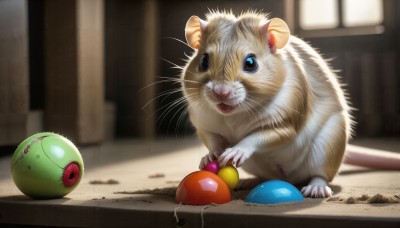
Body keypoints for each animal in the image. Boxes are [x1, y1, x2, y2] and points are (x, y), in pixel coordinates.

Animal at [180, 11, 400, 198]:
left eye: (250, 63)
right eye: (203, 62)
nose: (220, 93)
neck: (234, 115)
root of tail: (289, 178)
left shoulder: (286, 121)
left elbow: (259, 136)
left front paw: (237, 150)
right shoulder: (203, 122)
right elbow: (213, 139)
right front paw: (210, 156)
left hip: (327, 146)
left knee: (321, 174)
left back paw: (316, 188)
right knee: (267, 177)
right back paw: (249, 181)